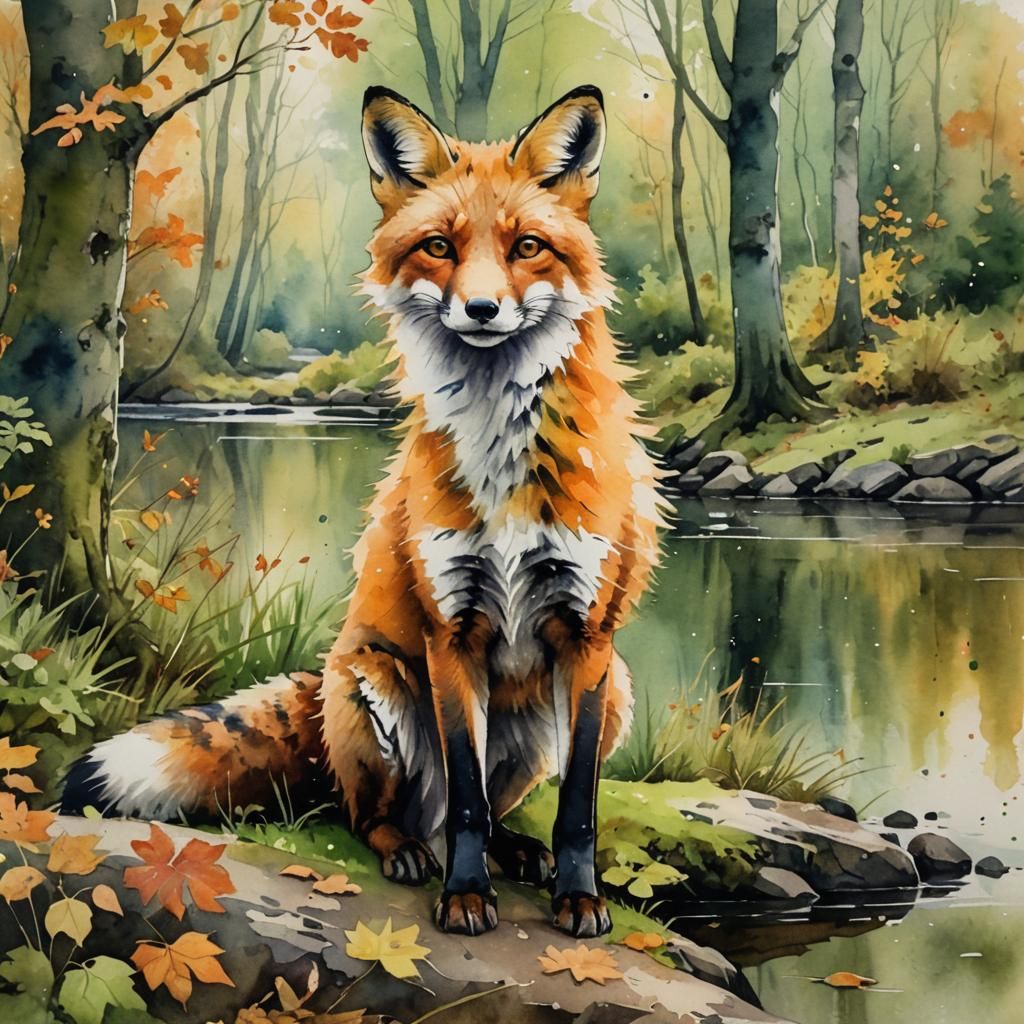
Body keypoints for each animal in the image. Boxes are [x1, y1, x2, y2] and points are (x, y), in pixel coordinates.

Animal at [61, 85, 664, 938]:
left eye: (528, 247)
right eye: (440, 246)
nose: (482, 308)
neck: (503, 460)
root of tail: (322, 680)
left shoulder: (588, 634)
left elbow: (574, 806)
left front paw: (578, 898)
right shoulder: (452, 630)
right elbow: (467, 798)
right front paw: (465, 897)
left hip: (612, 695)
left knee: (479, 812)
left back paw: (519, 852)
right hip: (374, 686)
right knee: (385, 815)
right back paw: (409, 853)